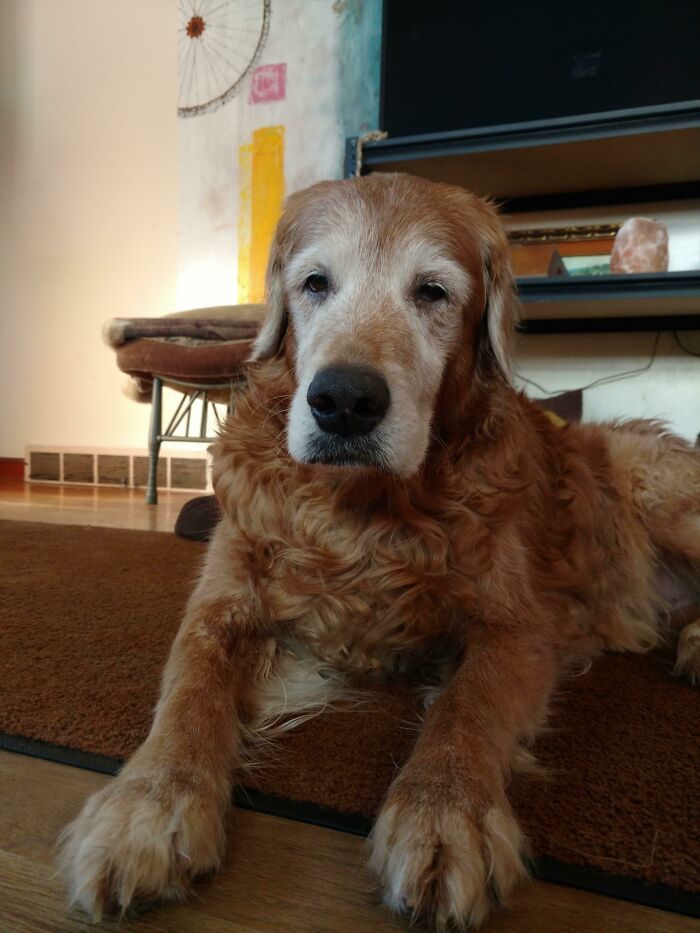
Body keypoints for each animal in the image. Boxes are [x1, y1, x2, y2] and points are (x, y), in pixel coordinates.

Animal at [61, 173, 700, 924]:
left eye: (432, 291)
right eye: (315, 283)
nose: (344, 401)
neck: (362, 513)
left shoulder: (519, 625)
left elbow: (468, 706)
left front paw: (445, 814)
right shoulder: (223, 596)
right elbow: (191, 687)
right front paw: (147, 803)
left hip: (653, 487)